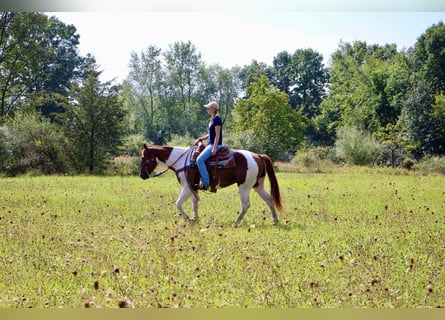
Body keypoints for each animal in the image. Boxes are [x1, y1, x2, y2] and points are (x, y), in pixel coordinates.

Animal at [140, 144, 282, 226]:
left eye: (143, 158)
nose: (142, 175)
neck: (182, 161)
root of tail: (257, 155)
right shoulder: (193, 188)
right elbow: (194, 204)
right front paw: (195, 219)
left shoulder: (187, 187)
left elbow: (178, 204)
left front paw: (188, 218)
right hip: (258, 185)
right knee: (269, 199)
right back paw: (275, 220)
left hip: (244, 187)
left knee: (246, 205)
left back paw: (236, 223)